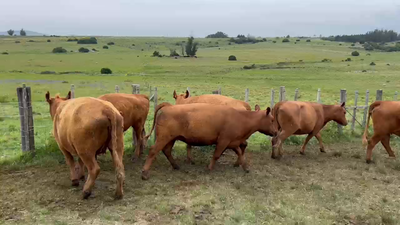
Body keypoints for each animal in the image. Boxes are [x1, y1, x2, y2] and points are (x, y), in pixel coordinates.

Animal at [140, 103, 276, 180]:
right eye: (272, 120)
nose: (276, 131)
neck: (241, 118)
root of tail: (169, 107)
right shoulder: (223, 141)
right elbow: (216, 155)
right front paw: (209, 168)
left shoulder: (233, 142)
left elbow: (240, 154)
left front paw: (245, 167)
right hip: (164, 138)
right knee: (153, 151)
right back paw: (145, 173)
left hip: (171, 138)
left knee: (167, 151)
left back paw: (176, 166)